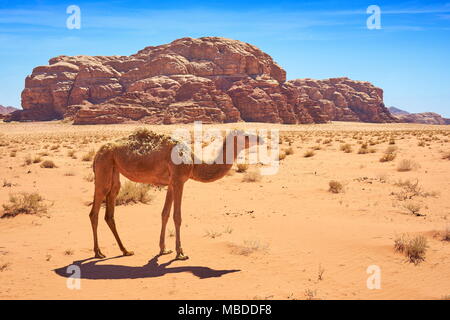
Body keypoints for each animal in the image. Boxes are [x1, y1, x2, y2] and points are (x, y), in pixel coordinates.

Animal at [88, 127, 262, 260]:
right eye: (246, 136)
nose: (261, 139)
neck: (194, 163)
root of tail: (97, 153)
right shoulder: (179, 181)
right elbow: (177, 216)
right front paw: (180, 253)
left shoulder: (171, 183)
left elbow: (164, 214)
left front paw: (163, 249)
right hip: (104, 166)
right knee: (94, 211)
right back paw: (98, 252)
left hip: (113, 170)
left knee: (110, 210)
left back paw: (125, 250)